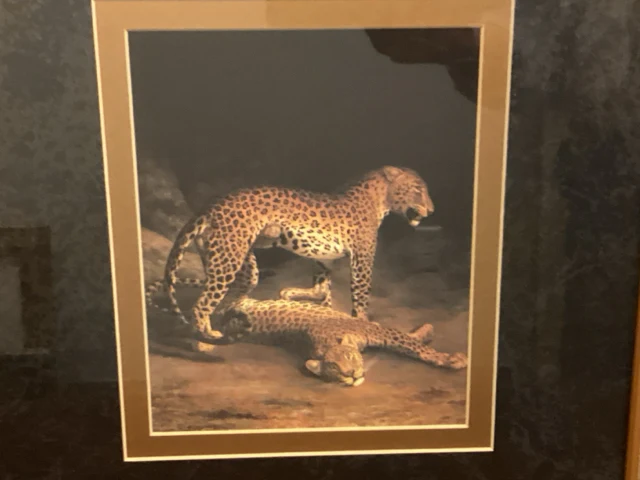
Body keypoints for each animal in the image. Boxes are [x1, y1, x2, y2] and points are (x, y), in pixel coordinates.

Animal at [158, 165, 434, 350]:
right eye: (418, 190)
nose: (432, 210)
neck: (379, 199)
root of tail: (211, 206)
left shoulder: (324, 257)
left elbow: (322, 286)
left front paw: (308, 299)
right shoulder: (362, 258)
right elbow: (361, 295)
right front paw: (364, 322)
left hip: (238, 262)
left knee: (228, 296)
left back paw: (229, 319)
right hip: (228, 257)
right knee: (202, 303)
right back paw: (205, 339)